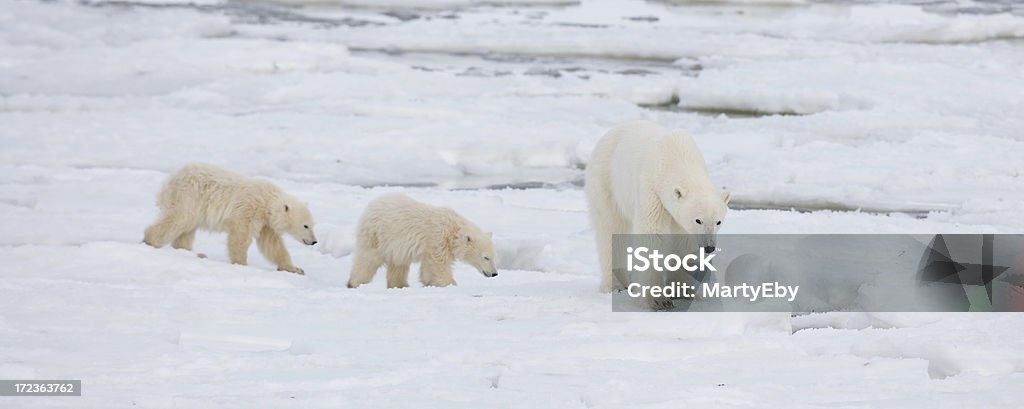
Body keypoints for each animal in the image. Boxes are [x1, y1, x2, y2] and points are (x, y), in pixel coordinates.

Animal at [141, 162, 315, 274]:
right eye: (306, 226)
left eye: (313, 225)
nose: (314, 241)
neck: (267, 201)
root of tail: (170, 180)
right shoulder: (249, 210)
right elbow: (240, 237)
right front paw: (241, 264)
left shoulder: (266, 224)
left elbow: (272, 246)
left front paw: (295, 269)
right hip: (190, 196)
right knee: (180, 218)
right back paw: (151, 240)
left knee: (187, 230)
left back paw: (192, 252)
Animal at [348, 193, 499, 289]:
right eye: (485, 257)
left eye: (493, 256)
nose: (494, 273)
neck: (452, 229)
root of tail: (372, 204)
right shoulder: (437, 239)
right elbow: (439, 265)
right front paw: (451, 284)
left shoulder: (433, 246)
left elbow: (428, 267)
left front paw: (429, 282)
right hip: (377, 234)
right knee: (367, 259)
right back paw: (354, 283)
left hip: (394, 245)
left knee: (398, 264)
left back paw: (400, 285)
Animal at [585, 119, 729, 299]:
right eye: (698, 220)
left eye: (718, 222)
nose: (709, 247)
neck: (677, 157)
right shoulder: (651, 190)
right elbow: (652, 234)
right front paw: (654, 294)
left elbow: (684, 242)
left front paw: (681, 290)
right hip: (607, 182)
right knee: (611, 229)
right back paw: (614, 285)